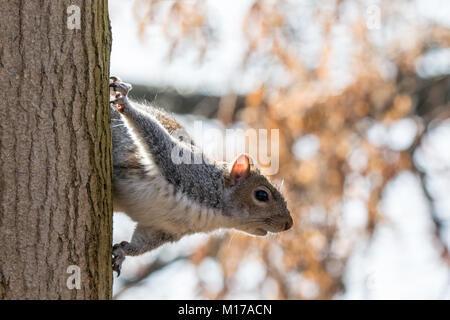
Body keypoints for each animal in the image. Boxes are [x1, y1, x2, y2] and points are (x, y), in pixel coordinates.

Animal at [108, 77, 292, 276]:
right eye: (261, 195)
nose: (289, 224)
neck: (215, 215)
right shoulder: (182, 168)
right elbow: (153, 134)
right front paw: (124, 101)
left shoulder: (163, 228)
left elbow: (142, 243)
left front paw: (123, 252)